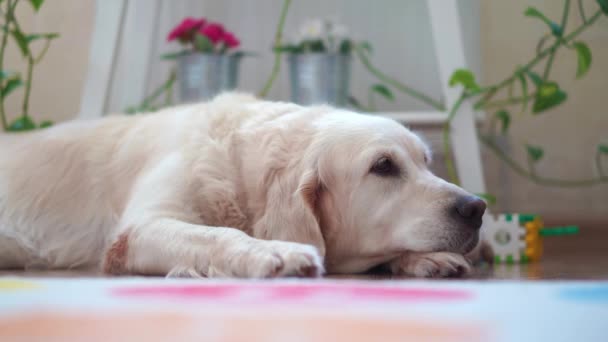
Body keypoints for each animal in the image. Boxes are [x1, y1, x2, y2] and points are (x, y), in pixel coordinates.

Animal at [0, 93, 486, 278]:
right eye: (383, 166)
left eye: (426, 162)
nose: (476, 207)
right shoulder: (139, 229)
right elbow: (218, 234)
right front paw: (275, 251)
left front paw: (425, 260)